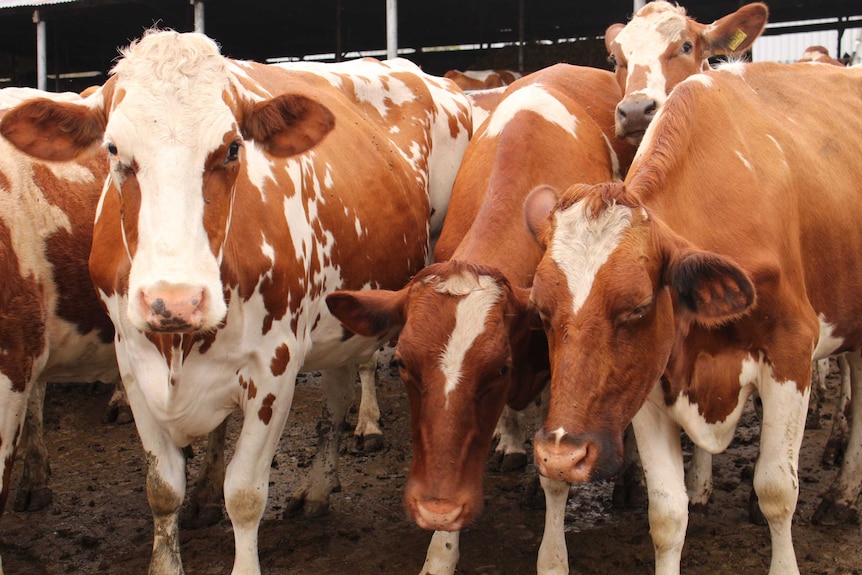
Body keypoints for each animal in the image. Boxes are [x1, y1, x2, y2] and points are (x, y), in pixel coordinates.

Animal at [0, 31, 472, 575]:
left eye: (231, 148)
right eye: (114, 149)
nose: (174, 301)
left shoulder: (275, 368)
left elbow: (244, 495)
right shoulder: (132, 363)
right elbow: (162, 489)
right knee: (334, 402)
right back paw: (317, 489)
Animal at [328, 63, 636, 575]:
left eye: (499, 368)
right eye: (403, 365)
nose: (437, 507)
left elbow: (556, 465)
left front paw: (553, 555)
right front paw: (439, 552)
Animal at [524, 62, 862, 575]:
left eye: (639, 306)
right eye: (542, 309)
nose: (561, 456)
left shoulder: (790, 353)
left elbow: (777, 489)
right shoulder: (648, 380)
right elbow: (666, 514)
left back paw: (842, 494)